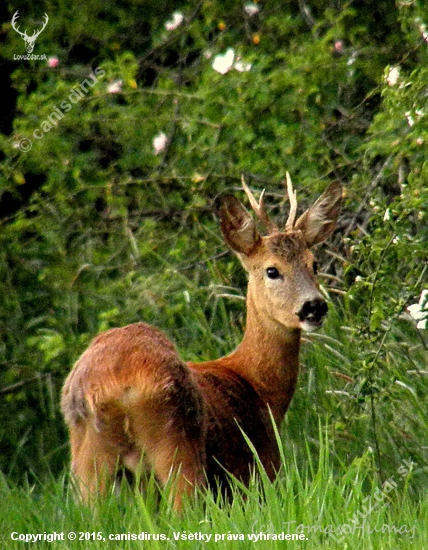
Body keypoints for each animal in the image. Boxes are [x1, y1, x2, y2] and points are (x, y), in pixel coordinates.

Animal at [61, 177, 342, 508]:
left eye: (314, 263)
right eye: (272, 270)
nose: (314, 306)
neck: (258, 387)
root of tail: (117, 383)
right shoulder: (259, 472)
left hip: (88, 460)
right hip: (177, 441)